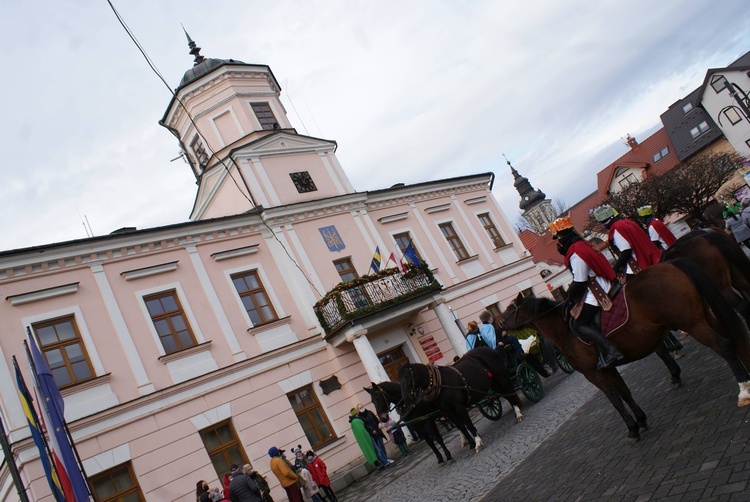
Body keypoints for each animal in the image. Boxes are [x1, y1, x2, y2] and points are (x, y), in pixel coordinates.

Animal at [502, 258, 750, 444]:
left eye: (508, 311)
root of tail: (672, 264)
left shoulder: (594, 374)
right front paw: (640, 420)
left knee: (725, 346)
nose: (500, 326)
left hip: (693, 323)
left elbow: (615, 401)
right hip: (706, 316)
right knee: (734, 338)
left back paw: (743, 390)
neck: (564, 329)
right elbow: (625, 393)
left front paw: (632, 428)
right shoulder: (609, 369)